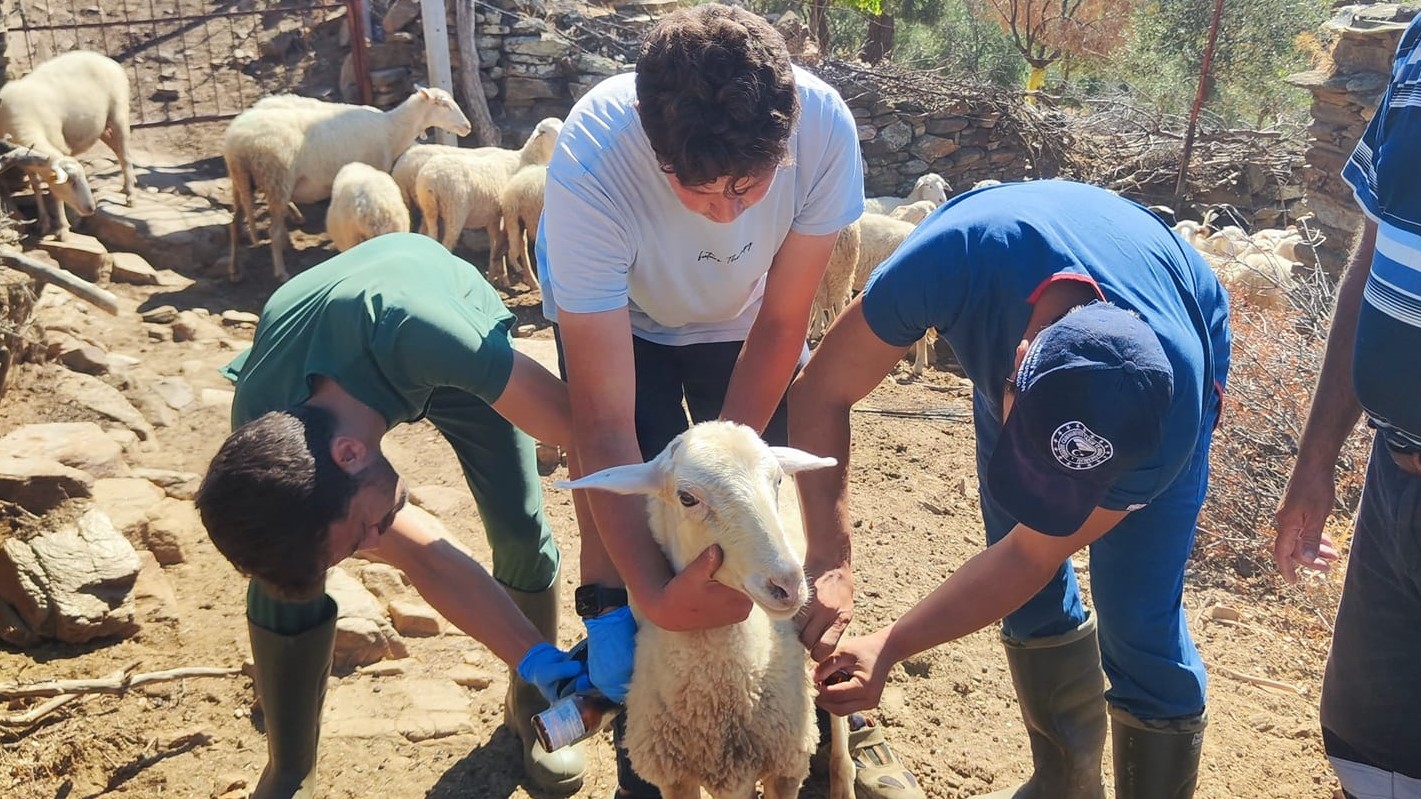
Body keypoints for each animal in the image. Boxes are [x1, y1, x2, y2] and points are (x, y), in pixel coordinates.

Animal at [0, 48, 135, 236]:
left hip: (119, 113)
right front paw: (44, 222)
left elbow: (54, 192)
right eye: (71, 182)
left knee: (125, 153)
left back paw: (130, 194)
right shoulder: (25, 159)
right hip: (100, 127)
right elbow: (36, 186)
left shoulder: (56, 143)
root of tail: (105, 58)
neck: (23, 122)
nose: (91, 208)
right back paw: (127, 185)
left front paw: (62, 228)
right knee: (119, 152)